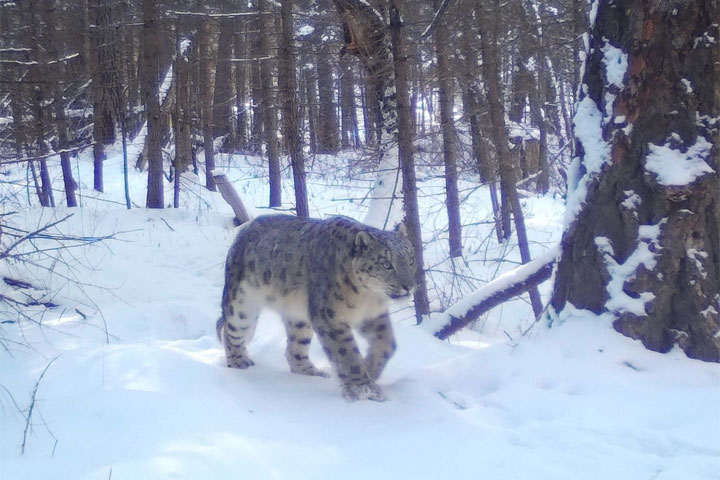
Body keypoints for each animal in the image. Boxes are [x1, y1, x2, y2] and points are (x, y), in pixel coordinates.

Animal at [215, 215, 416, 402]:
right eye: (386, 264)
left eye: (410, 260)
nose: (408, 286)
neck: (368, 298)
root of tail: (244, 229)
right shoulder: (330, 317)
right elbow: (347, 353)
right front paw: (363, 389)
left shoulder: (374, 316)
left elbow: (387, 343)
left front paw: (370, 369)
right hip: (242, 304)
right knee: (231, 331)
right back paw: (239, 362)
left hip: (299, 318)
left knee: (295, 347)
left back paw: (310, 371)